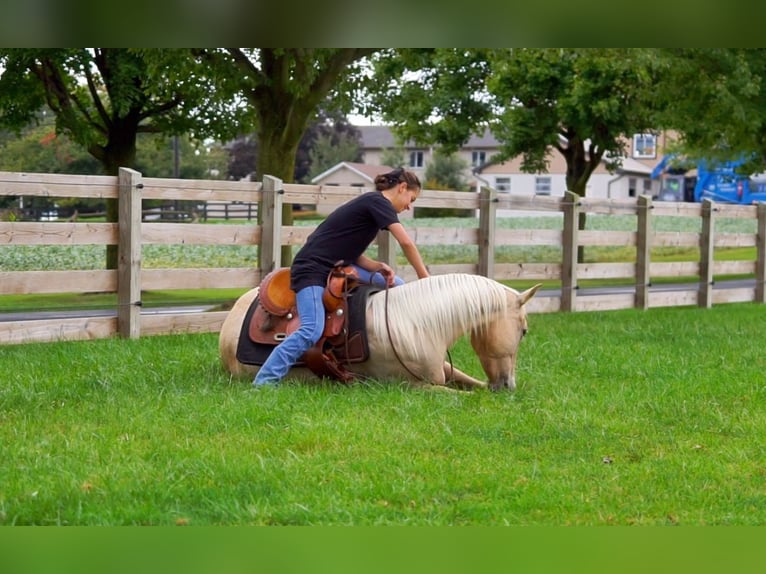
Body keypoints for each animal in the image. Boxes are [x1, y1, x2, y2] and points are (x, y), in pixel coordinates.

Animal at [219, 273, 542, 392]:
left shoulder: (445, 370)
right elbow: (463, 396)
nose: (508, 385)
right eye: (524, 331)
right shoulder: (414, 387)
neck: (417, 324)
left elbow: (476, 386)